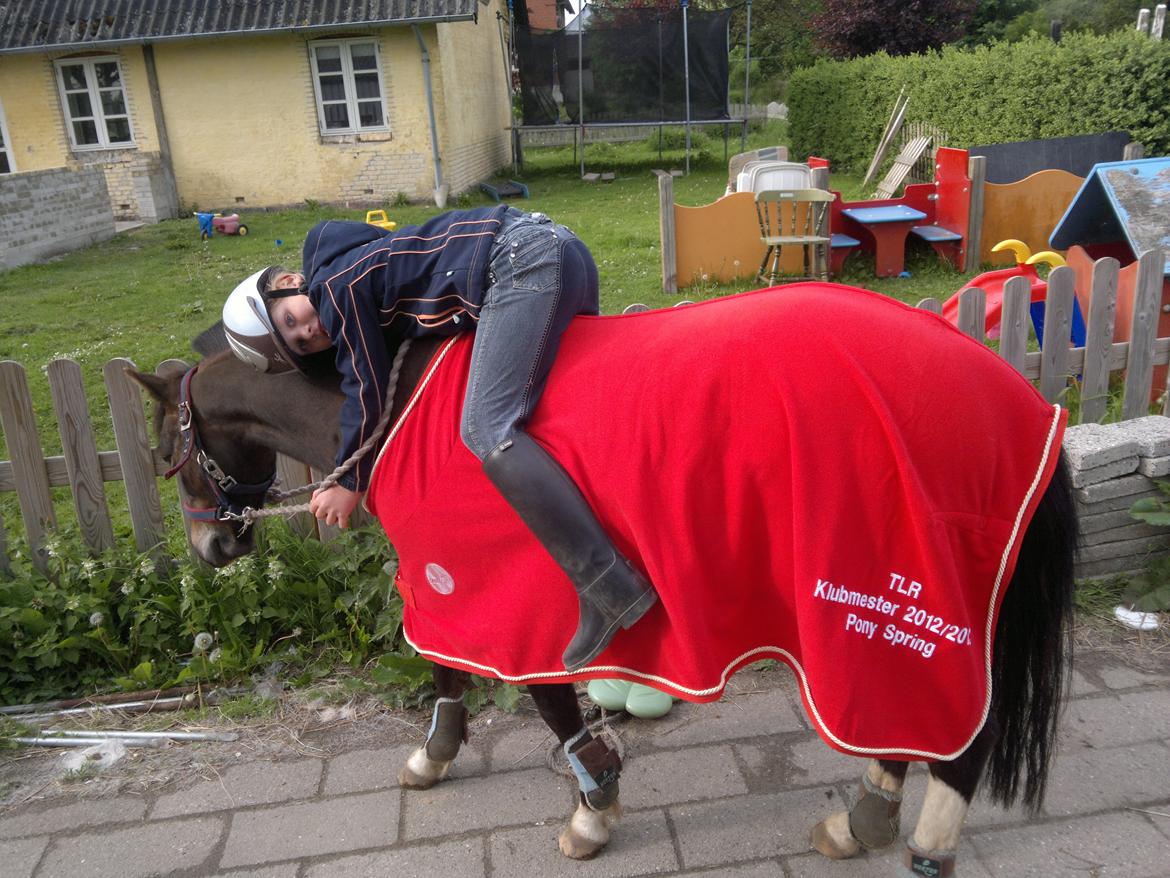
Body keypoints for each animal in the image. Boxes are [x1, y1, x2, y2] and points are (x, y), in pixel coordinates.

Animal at [130, 286, 1076, 875]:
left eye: (166, 447)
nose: (209, 547)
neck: (401, 401)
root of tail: (1012, 394)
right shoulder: (454, 587)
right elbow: (444, 668)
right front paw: (436, 754)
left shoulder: (496, 594)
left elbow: (541, 698)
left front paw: (593, 805)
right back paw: (863, 820)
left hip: (893, 602)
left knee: (958, 737)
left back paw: (919, 842)